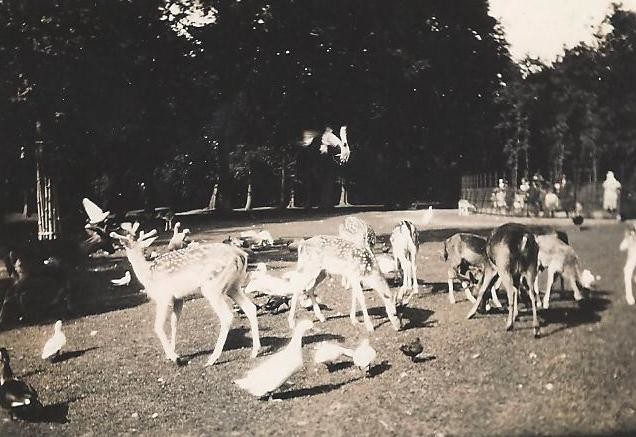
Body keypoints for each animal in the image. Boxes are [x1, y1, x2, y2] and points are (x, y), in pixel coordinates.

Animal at [110, 221, 260, 364]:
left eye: (124, 243)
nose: (116, 242)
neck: (147, 274)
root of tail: (241, 255)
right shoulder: (178, 298)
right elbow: (174, 322)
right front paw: (172, 353)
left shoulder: (164, 297)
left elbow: (158, 326)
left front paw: (175, 358)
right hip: (233, 286)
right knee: (250, 308)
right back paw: (254, 352)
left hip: (213, 287)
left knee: (227, 316)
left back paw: (212, 359)